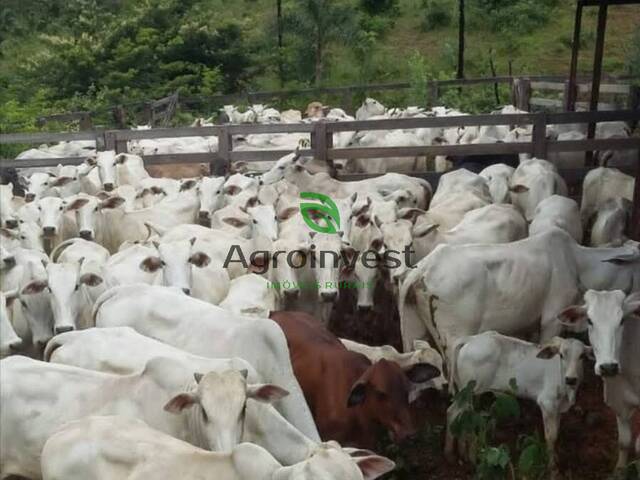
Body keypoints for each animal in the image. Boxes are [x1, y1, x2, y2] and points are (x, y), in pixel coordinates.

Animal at [444, 334, 592, 476]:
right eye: (561, 355)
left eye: (582, 356)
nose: (571, 379)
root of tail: (470, 338)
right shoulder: (547, 403)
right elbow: (551, 437)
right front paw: (552, 468)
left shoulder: (558, 408)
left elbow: (556, 432)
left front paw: (555, 459)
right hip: (469, 391)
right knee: (452, 412)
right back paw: (452, 454)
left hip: (466, 393)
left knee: (464, 416)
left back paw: (463, 454)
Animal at [556, 290, 640, 470]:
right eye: (589, 320)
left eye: (622, 320)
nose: (608, 367)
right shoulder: (619, 402)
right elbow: (624, 442)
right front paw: (619, 470)